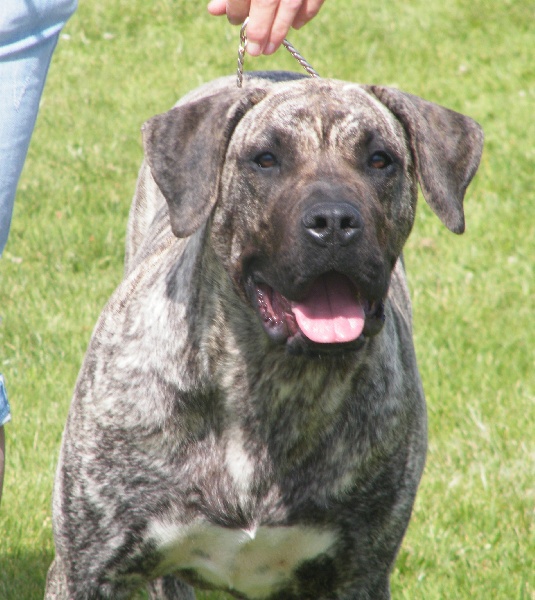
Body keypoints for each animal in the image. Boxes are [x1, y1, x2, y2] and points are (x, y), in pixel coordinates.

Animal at [46, 72, 484, 596]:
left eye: (381, 160)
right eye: (266, 159)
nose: (334, 222)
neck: (272, 383)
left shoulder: (359, 574)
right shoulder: (86, 572)